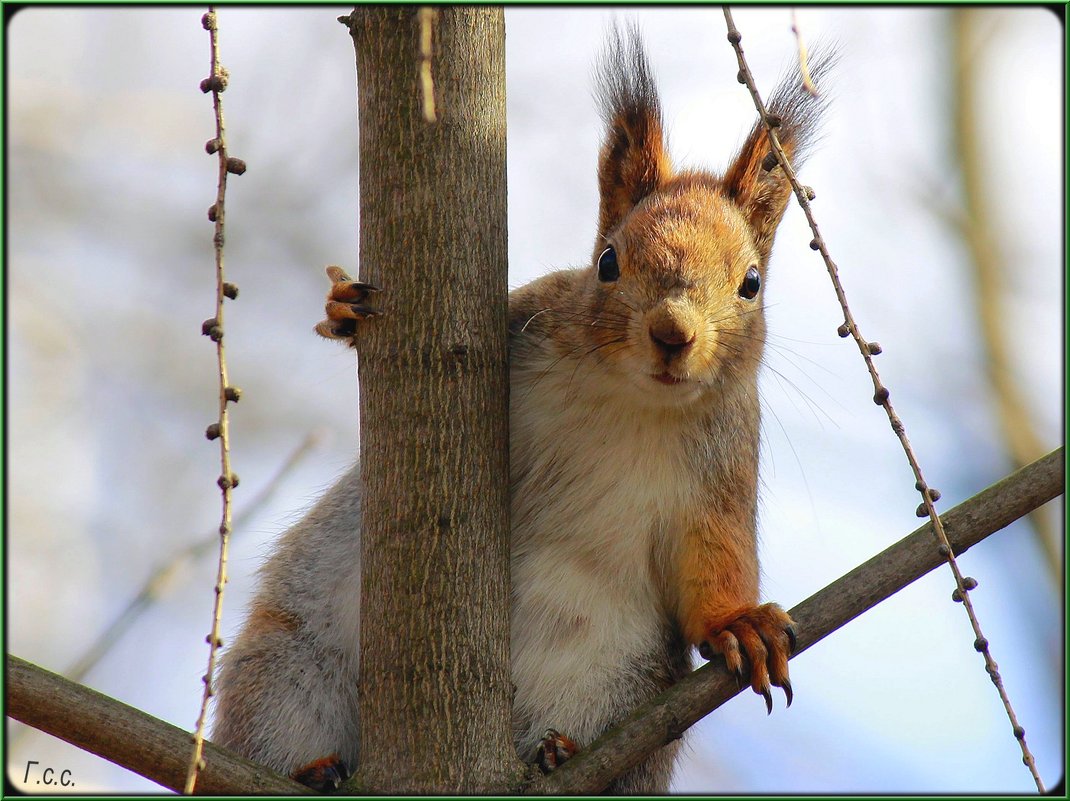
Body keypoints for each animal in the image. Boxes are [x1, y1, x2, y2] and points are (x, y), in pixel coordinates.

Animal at [208, 24, 826, 795]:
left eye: (751, 283)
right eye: (608, 262)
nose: (673, 333)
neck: (632, 398)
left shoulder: (722, 474)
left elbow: (713, 565)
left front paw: (743, 624)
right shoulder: (519, 321)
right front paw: (345, 310)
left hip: (617, 689)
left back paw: (558, 750)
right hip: (290, 671)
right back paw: (312, 767)